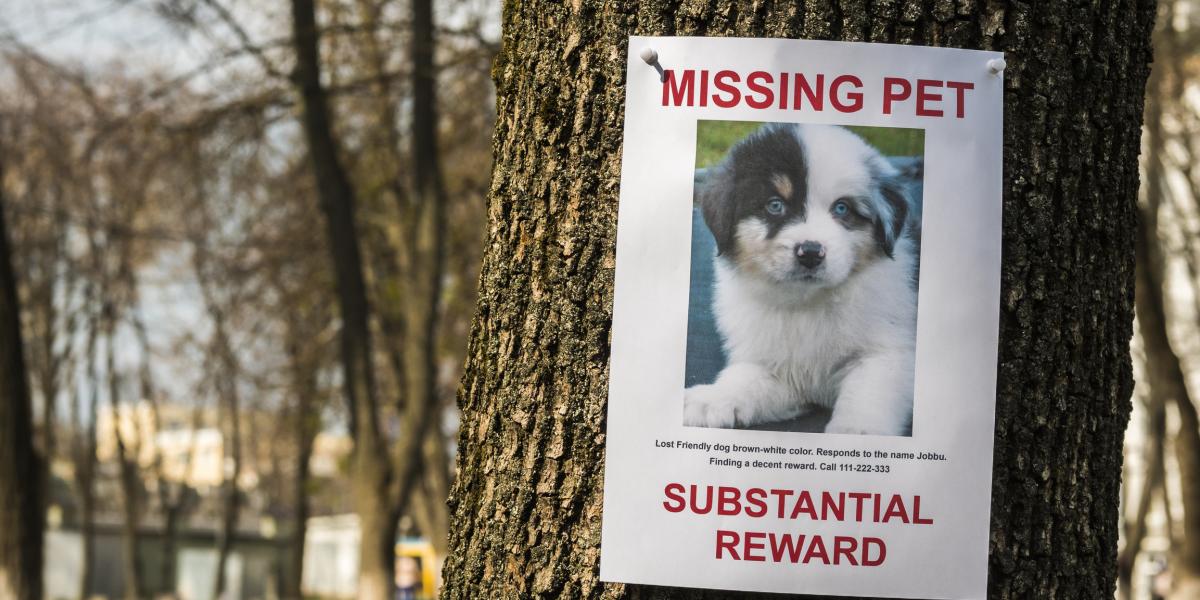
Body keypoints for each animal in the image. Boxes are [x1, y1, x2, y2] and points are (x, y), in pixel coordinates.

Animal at [686, 123, 916, 436]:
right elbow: (745, 378)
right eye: (775, 205)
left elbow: (867, 395)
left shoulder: (888, 352)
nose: (810, 253)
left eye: (842, 208)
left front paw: (853, 434)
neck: (808, 302)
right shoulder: (779, 369)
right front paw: (711, 399)